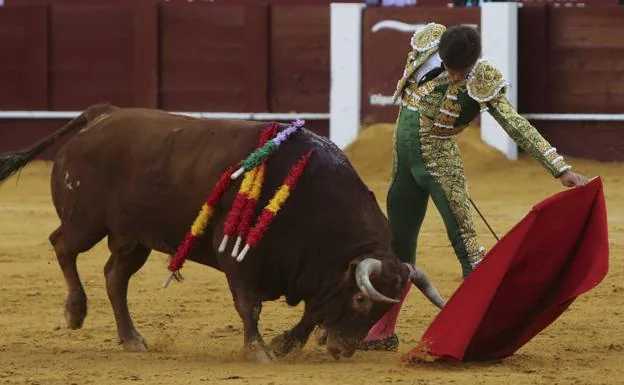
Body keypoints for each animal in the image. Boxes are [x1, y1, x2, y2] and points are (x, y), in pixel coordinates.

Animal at [0, 104, 444, 360]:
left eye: (383, 310)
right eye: (360, 299)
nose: (342, 350)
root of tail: (101, 116)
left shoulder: (312, 273)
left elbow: (311, 311)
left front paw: (284, 344)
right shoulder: (239, 257)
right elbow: (249, 305)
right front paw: (259, 350)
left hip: (134, 238)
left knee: (114, 277)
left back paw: (132, 338)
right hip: (86, 222)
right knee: (63, 246)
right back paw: (75, 311)